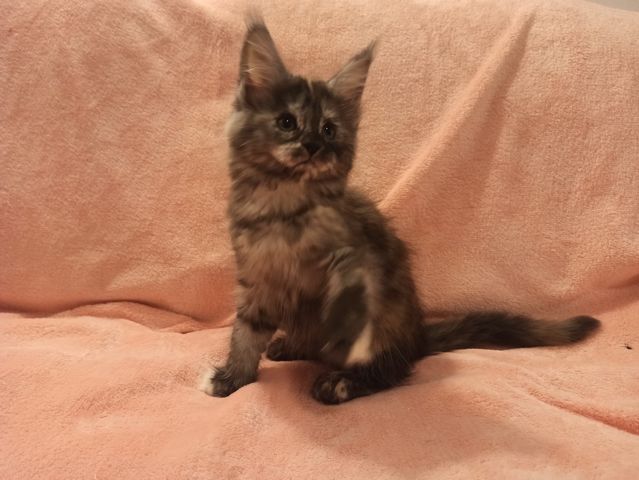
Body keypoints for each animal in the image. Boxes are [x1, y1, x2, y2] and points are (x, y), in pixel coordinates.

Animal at [202, 17, 600, 405]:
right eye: (287, 122)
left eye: (329, 129)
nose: (314, 145)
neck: (283, 208)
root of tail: (416, 337)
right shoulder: (257, 281)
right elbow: (245, 333)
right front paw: (232, 378)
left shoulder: (357, 254)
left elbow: (347, 297)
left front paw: (340, 340)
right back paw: (291, 346)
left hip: (391, 322)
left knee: (392, 372)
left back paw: (340, 382)